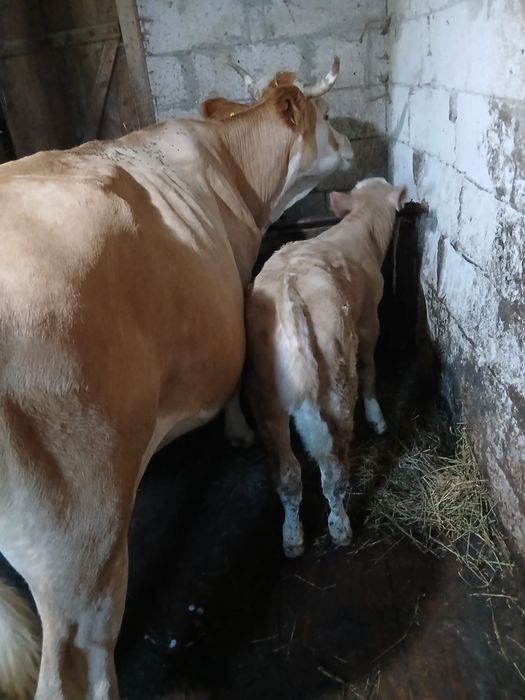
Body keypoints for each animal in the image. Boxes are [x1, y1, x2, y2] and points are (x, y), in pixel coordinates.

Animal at [0, 59, 352, 700]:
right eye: (329, 115)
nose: (354, 144)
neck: (241, 173)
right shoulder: (237, 280)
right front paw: (237, 432)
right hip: (78, 544)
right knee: (80, 665)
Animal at [243, 178, 408, 558]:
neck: (359, 227)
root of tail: (288, 292)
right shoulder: (369, 321)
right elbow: (370, 368)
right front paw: (378, 418)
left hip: (266, 397)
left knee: (288, 475)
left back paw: (292, 538)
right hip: (335, 382)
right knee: (332, 467)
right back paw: (340, 526)